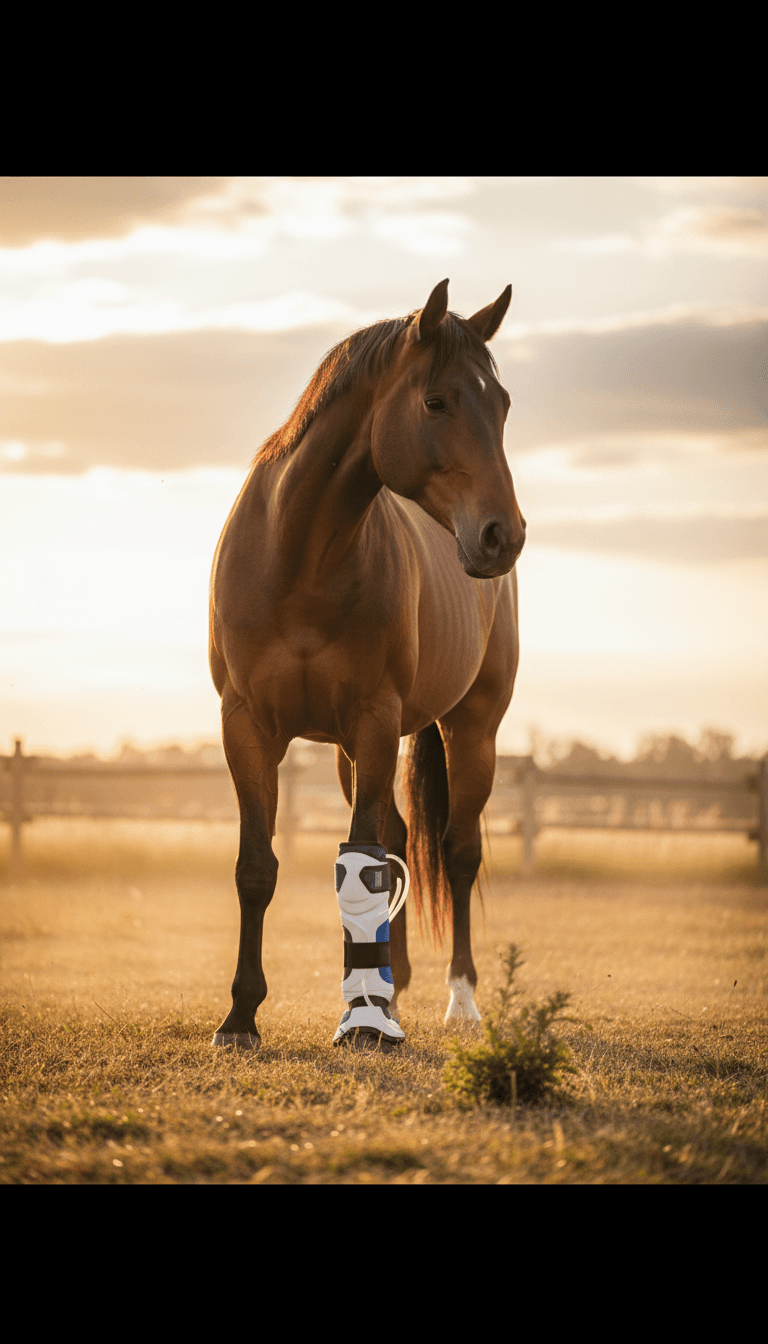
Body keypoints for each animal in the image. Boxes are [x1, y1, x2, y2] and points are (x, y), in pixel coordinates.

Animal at [209, 279, 526, 1050]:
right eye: (437, 401)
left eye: (502, 404)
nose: (502, 535)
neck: (298, 557)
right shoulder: (248, 728)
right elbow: (257, 867)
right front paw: (240, 1017)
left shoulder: (376, 720)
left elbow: (364, 863)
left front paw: (364, 1019)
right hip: (352, 752)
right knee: (399, 840)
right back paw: (395, 984)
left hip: (470, 730)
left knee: (457, 850)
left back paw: (458, 1000)